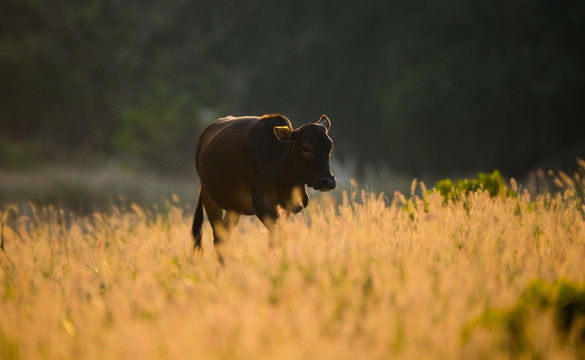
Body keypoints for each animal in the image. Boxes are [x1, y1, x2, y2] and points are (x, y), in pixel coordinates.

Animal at [192, 113, 336, 262]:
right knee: (219, 240)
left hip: (234, 208)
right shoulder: (260, 204)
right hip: (209, 198)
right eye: (306, 147)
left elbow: (274, 240)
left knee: (224, 237)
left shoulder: (285, 208)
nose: (329, 181)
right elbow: (279, 236)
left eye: (330, 147)